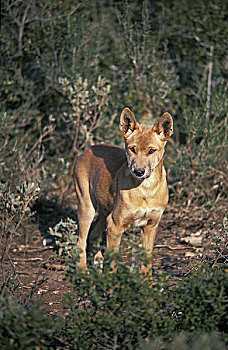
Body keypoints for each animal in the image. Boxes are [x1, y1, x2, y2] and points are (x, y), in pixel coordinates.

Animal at [73, 106, 173, 274]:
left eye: (151, 151)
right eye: (132, 149)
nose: (138, 172)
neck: (146, 190)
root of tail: (87, 150)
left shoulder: (151, 226)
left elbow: (147, 262)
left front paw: (147, 281)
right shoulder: (115, 224)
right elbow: (112, 263)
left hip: (105, 211)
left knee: (93, 235)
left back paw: (97, 265)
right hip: (87, 207)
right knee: (81, 241)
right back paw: (82, 271)